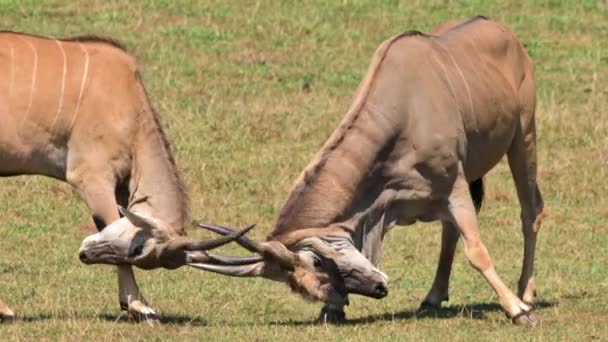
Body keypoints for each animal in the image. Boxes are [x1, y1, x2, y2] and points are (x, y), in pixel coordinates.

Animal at [0, 32, 253, 326]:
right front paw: (138, 306)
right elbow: (108, 225)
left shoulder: (121, 186)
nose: (83, 254)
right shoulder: (93, 178)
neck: (128, 102)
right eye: (138, 250)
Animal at [191, 16, 548, 326]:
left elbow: (477, 251)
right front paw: (332, 310)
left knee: (531, 211)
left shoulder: (454, 186)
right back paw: (433, 296)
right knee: (451, 232)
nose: (379, 288)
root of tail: (503, 31)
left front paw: (517, 311)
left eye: (317, 261)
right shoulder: (386, 202)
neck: (403, 109)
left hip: (523, 137)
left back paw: (526, 293)